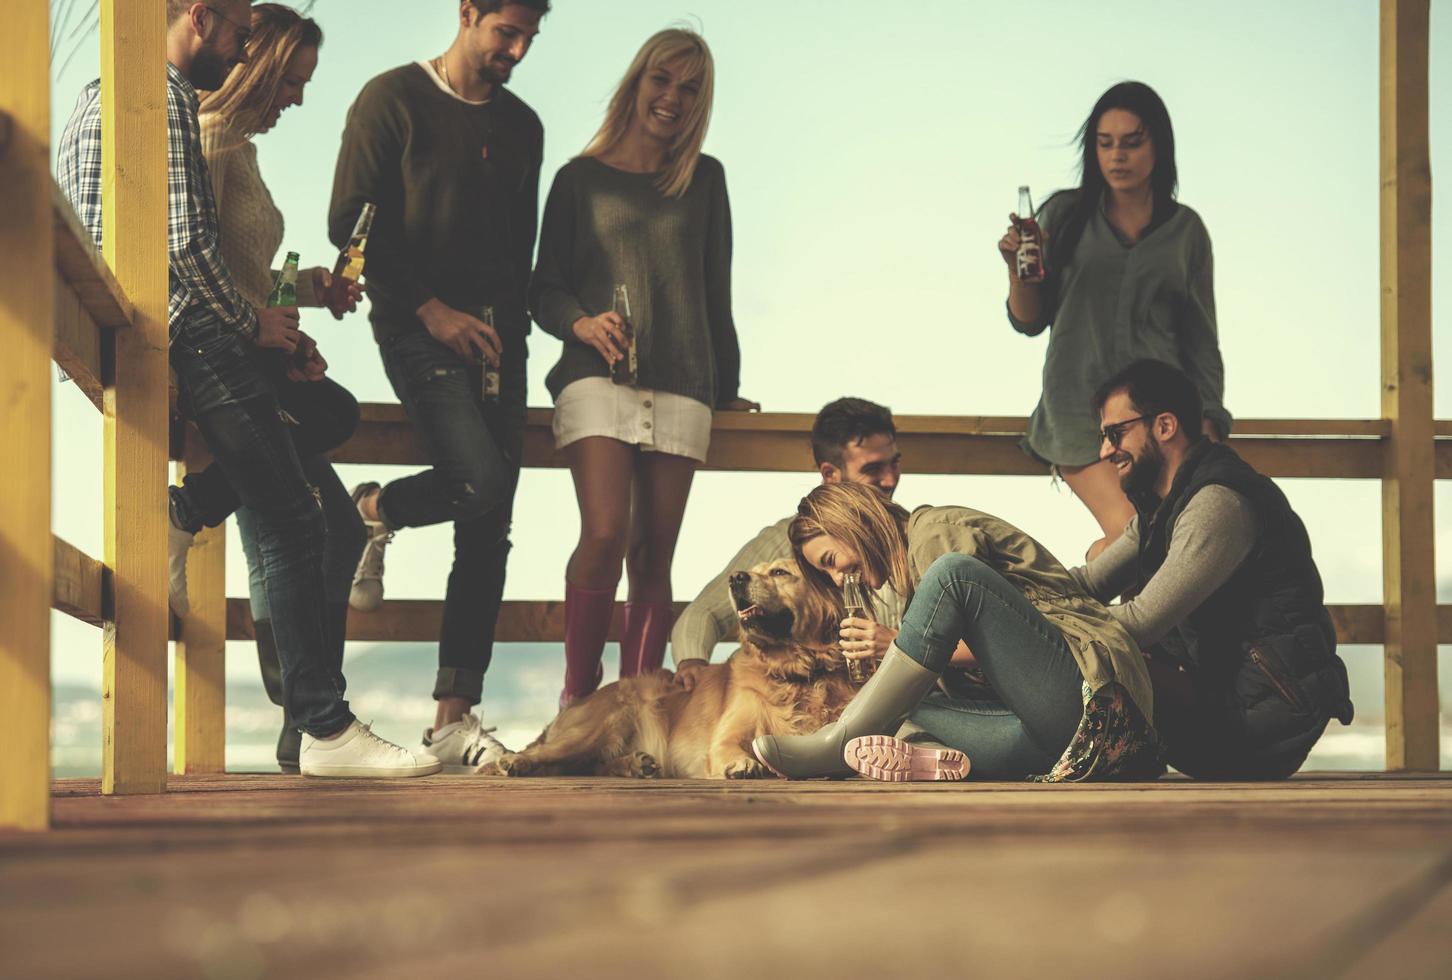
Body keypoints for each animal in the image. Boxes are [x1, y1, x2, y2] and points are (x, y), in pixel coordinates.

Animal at [476, 560, 859, 784]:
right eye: (754, 569)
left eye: (781, 572)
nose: (735, 578)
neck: (798, 672)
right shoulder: (726, 736)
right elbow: (732, 747)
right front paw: (744, 764)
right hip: (601, 723)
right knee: (544, 754)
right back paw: (513, 763)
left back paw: (635, 765)